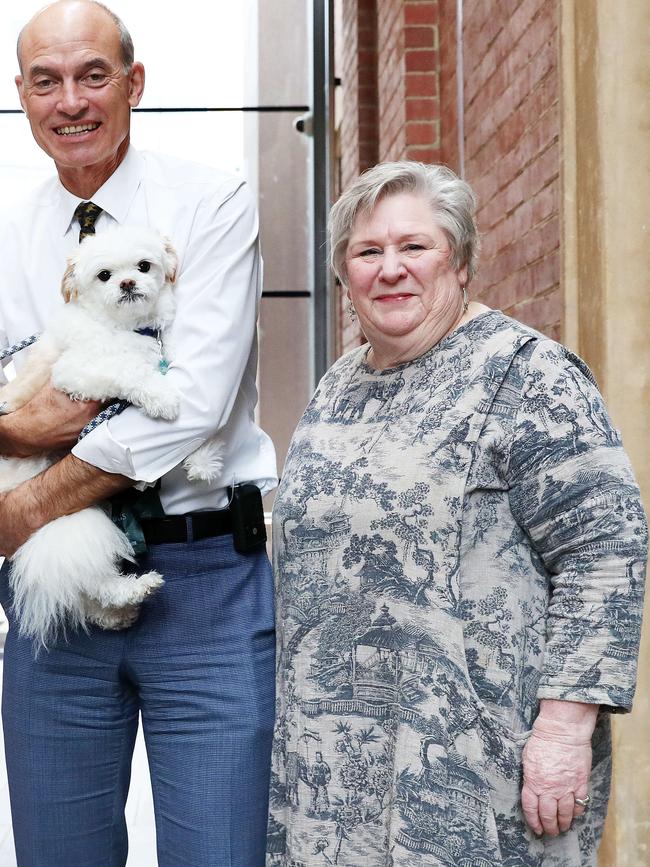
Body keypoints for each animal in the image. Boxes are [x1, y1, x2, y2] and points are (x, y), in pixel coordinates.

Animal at [0, 227, 192, 648]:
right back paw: (128, 594)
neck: (122, 328)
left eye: (143, 266)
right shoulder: (76, 373)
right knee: (83, 574)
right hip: (62, 518)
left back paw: (123, 605)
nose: (128, 283)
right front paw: (163, 399)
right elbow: (132, 374)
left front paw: (203, 462)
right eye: (104, 275)